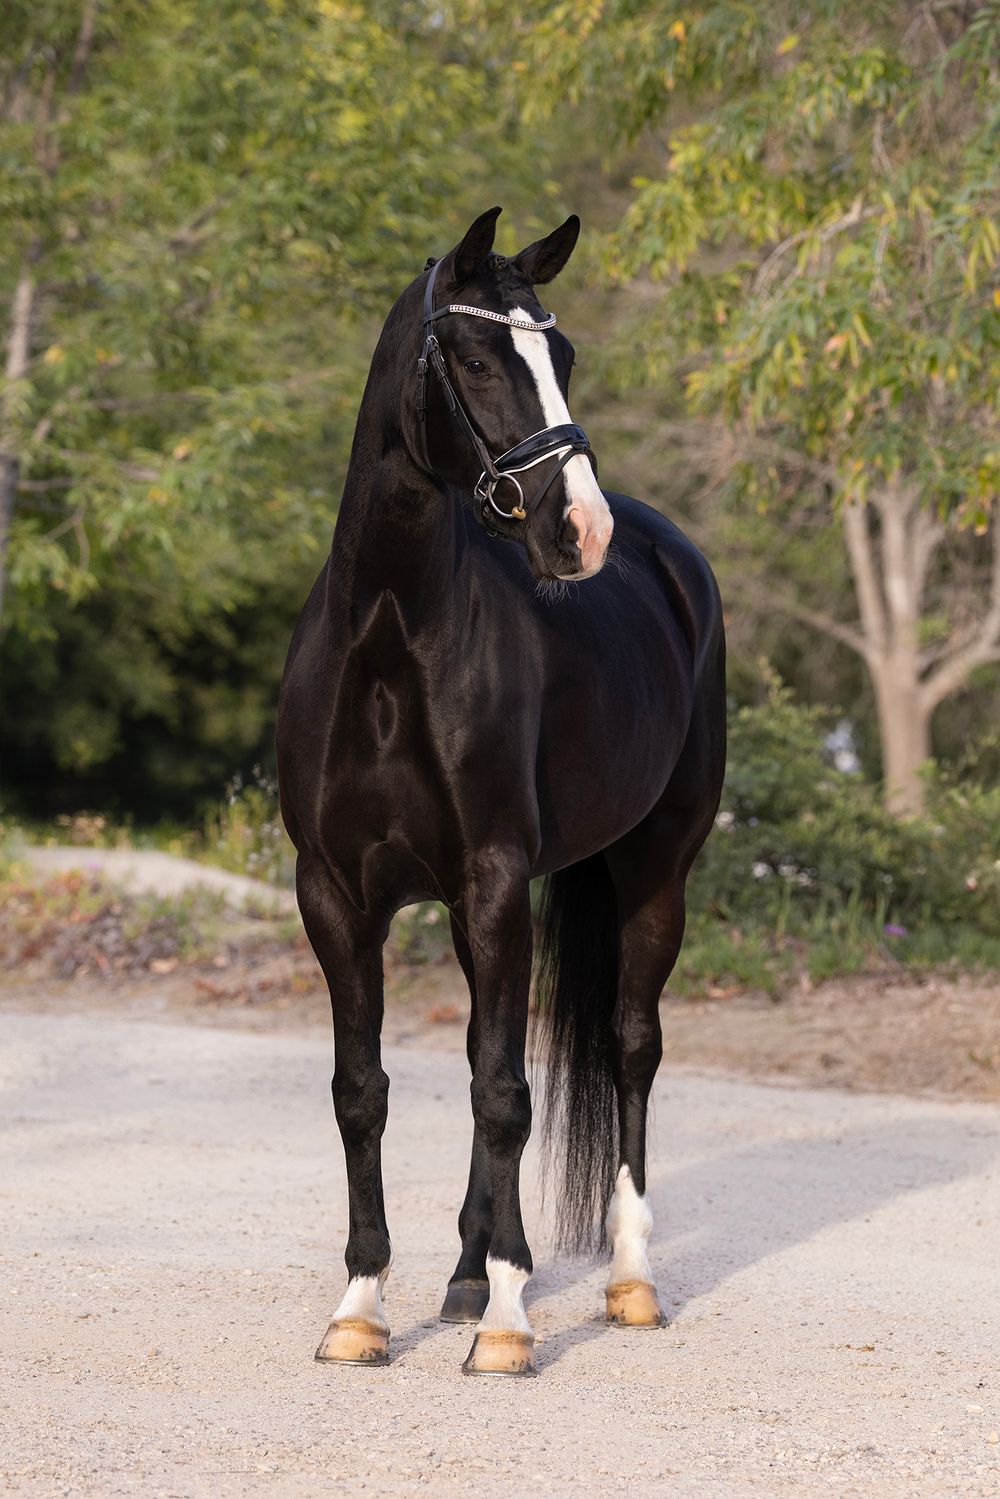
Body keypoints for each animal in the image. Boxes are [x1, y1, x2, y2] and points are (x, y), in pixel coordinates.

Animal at [276, 206, 726, 1377]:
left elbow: (504, 1091)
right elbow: (363, 1090)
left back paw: (625, 1283)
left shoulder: (490, 875)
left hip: (655, 868)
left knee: (628, 1046)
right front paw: (361, 1307)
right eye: (477, 359)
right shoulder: (335, 891)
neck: (388, 638)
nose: (580, 530)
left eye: (562, 357)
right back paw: (468, 1271)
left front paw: (513, 1323)